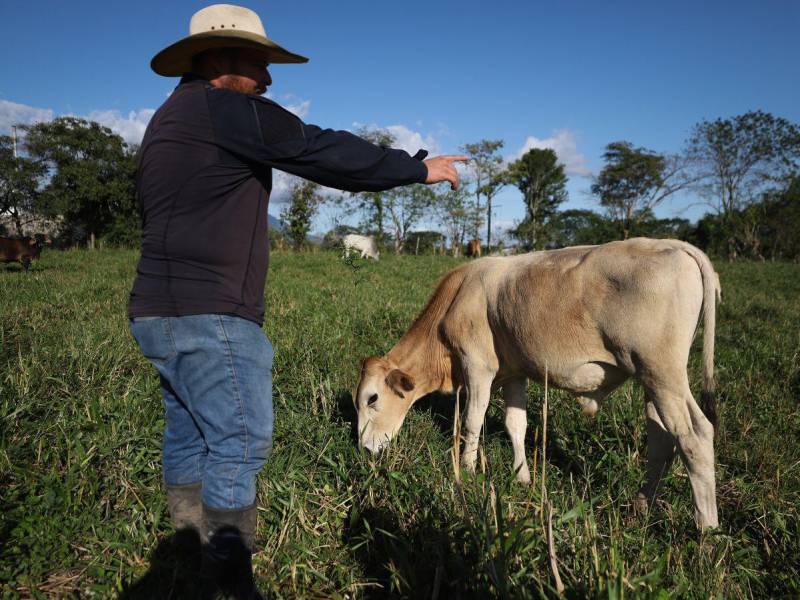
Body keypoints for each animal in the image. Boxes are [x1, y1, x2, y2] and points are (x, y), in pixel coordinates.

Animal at [354, 239, 720, 528]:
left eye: (372, 398)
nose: (365, 449)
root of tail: (675, 245)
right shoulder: (515, 372)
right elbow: (516, 424)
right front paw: (522, 477)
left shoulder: (477, 365)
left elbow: (472, 420)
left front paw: (468, 471)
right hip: (652, 381)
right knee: (662, 440)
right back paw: (641, 507)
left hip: (663, 373)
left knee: (694, 436)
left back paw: (707, 529)